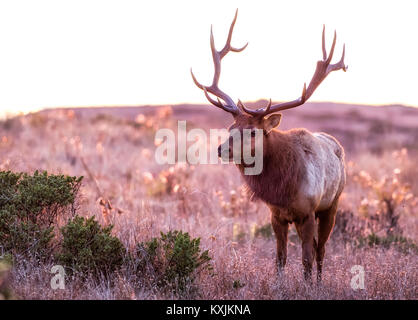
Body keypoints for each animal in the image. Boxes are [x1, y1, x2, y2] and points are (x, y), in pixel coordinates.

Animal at [191, 10, 348, 280]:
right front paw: (279, 283)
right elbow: (280, 258)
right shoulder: (276, 215)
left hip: (332, 204)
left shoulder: (308, 212)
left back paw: (319, 281)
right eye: (231, 128)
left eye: (254, 131)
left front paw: (308, 286)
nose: (222, 149)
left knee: (321, 250)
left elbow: (305, 259)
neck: (284, 189)